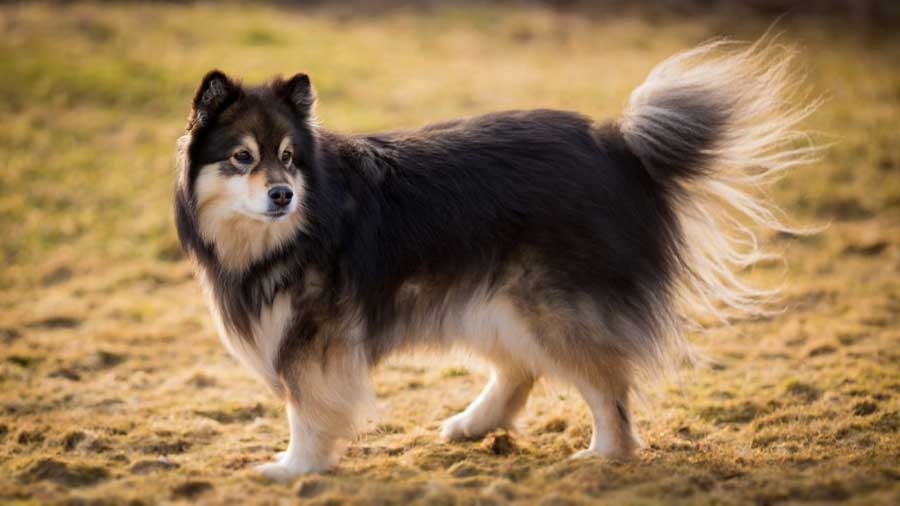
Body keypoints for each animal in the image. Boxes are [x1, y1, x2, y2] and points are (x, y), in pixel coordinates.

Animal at [174, 37, 816, 480]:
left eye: (287, 157)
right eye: (241, 157)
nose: (283, 194)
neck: (297, 226)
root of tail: (618, 146)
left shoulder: (314, 338)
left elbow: (307, 409)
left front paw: (295, 467)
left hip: (547, 305)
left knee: (604, 383)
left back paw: (605, 454)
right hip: (489, 296)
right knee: (520, 369)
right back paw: (475, 424)